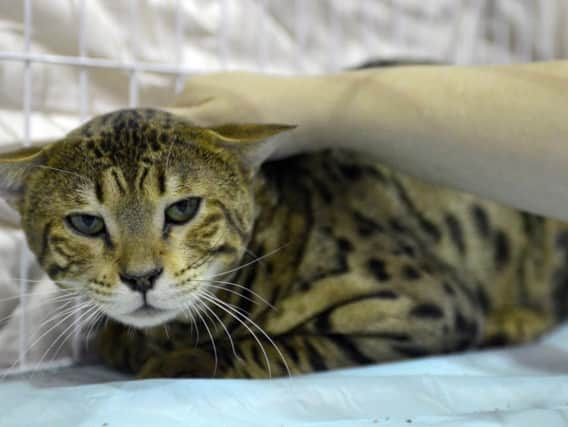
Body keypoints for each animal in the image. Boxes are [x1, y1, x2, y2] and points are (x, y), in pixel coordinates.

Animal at [2, 108, 564, 380]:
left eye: (182, 209)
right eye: (86, 223)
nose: (141, 278)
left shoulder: (425, 305)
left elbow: (277, 346)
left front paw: (182, 361)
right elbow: (111, 338)